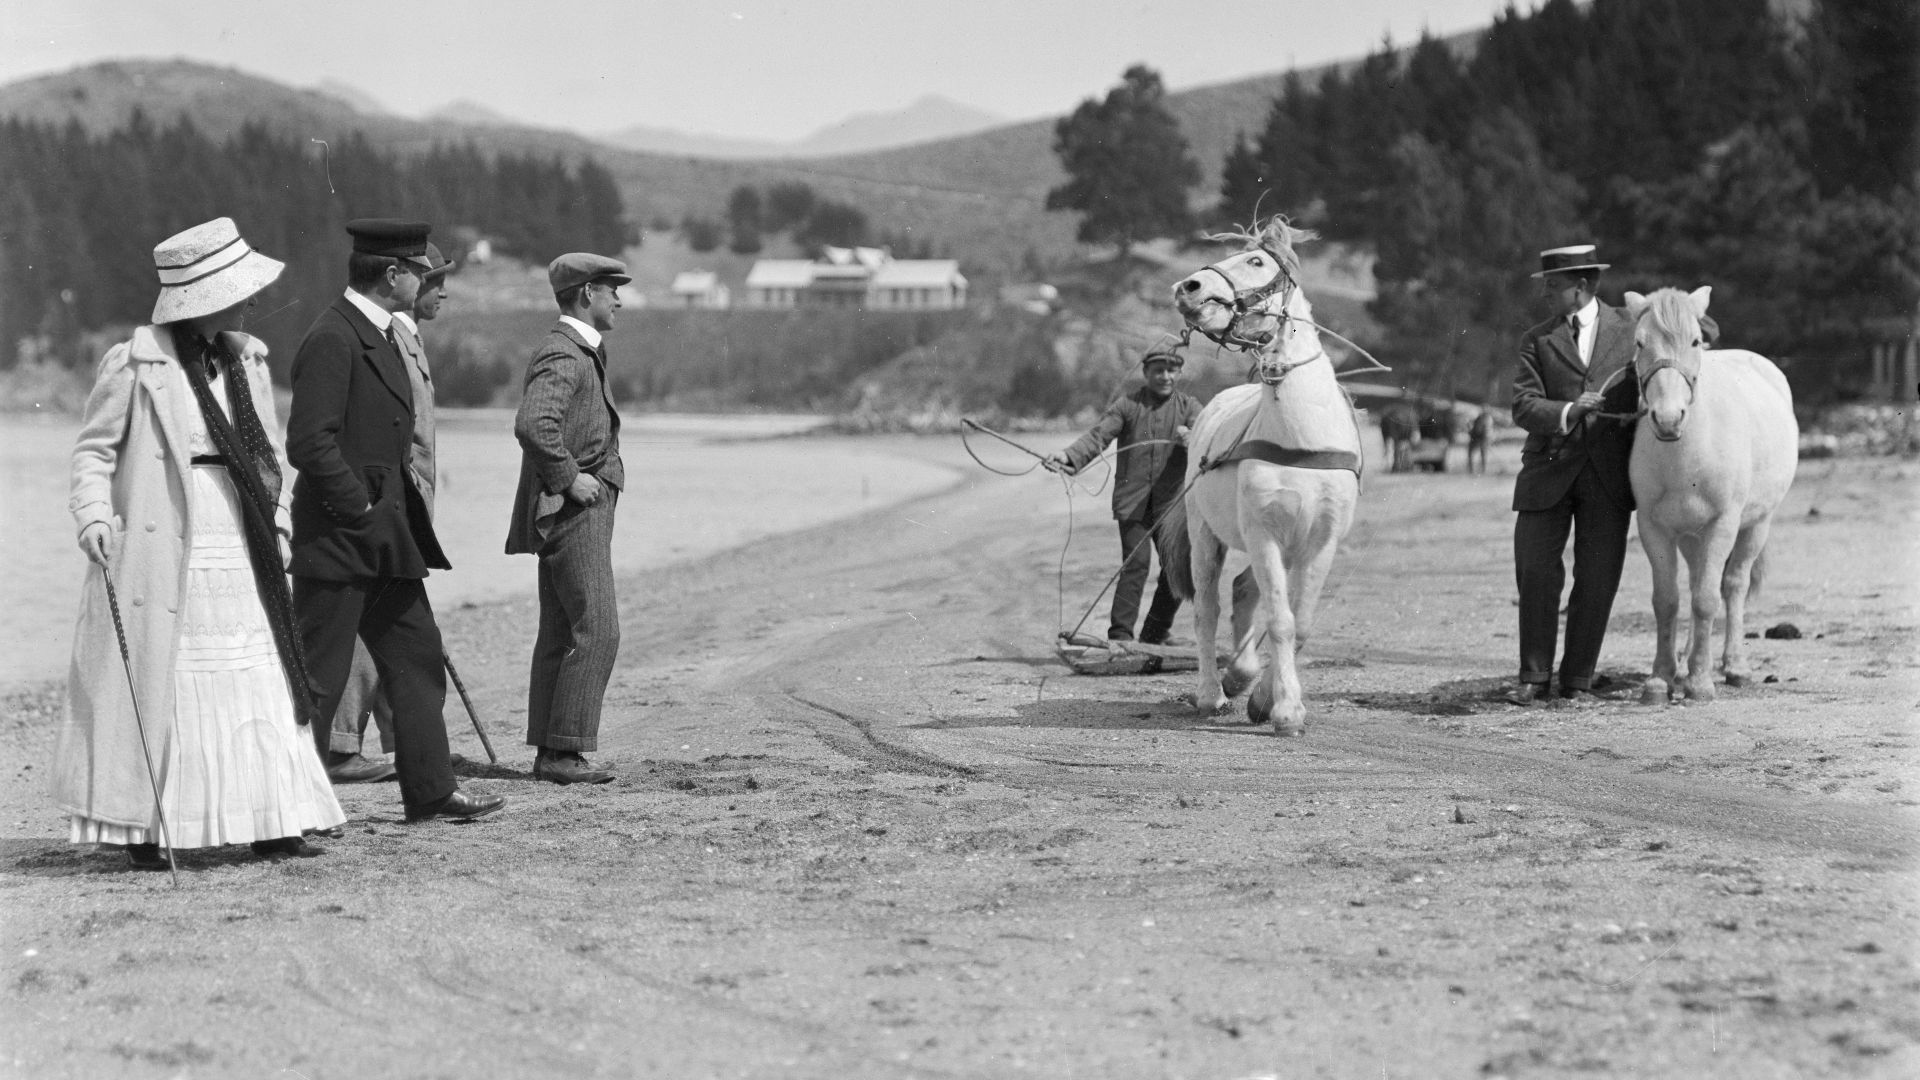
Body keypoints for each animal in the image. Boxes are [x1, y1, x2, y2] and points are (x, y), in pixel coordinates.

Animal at [1156, 218, 1364, 735]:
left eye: (1256, 261)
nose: (1187, 287)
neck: (1299, 436)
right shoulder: (1263, 532)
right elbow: (1280, 619)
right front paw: (1286, 709)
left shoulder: (1320, 539)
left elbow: (1298, 622)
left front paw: (1266, 699)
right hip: (1206, 536)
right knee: (1209, 606)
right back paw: (1213, 691)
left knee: (1244, 589)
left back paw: (1240, 677)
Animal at [1624, 286, 1797, 704]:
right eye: (1639, 343)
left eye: (1694, 341)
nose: (1668, 419)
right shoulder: (1654, 528)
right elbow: (1667, 600)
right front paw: (1661, 678)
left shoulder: (1722, 524)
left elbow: (1707, 599)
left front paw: (1701, 682)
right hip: (1691, 536)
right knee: (1694, 582)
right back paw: (1685, 662)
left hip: (1756, 525)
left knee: (1732, 585)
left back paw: (1734, 667)